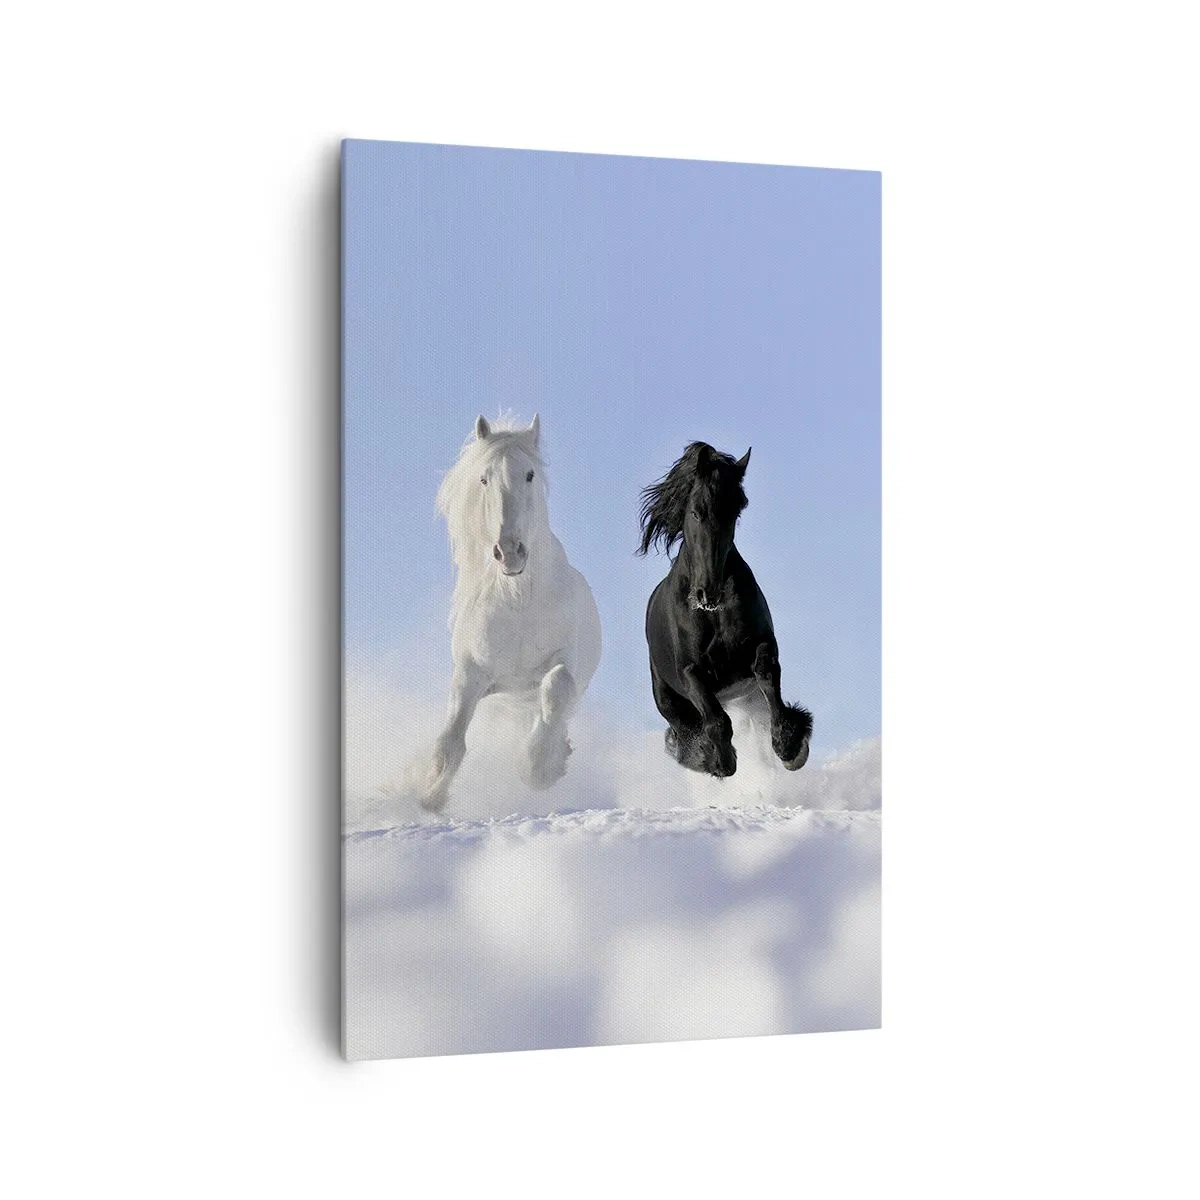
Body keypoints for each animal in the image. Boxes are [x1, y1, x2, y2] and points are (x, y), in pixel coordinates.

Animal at [422, 414, 602, 811]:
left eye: (530, 474)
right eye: (484, 478)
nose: (509, 552)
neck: (518, 601)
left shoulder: (563, 662)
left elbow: (556, 687)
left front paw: (540, 769)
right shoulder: (471, 674)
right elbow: (450, 740)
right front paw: (428, 796)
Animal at [637, 441, 812, 779]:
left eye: (735, 512)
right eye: (696, 511)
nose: (708, 592)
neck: (713, 614)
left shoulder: (761, 645)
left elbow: (768, 676)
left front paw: (790, 745)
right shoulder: (690, 672)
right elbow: (716, 719)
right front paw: (720, 760)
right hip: (668, 698)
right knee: (683, 732)